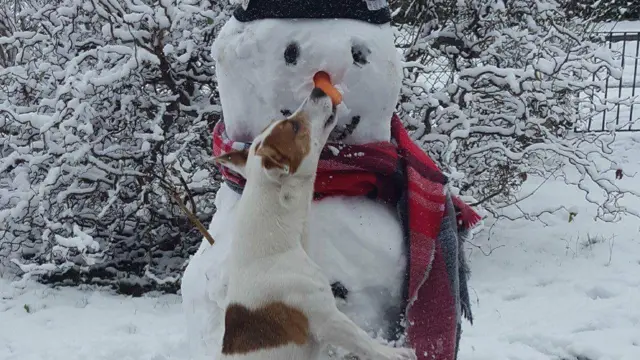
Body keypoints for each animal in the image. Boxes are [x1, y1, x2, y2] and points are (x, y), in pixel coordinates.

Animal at [212, 88, 418, 360]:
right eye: (295, 126)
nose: (317, 90)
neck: (276, 246)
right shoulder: (327, 319)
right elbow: (362, 340)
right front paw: (393, 353)